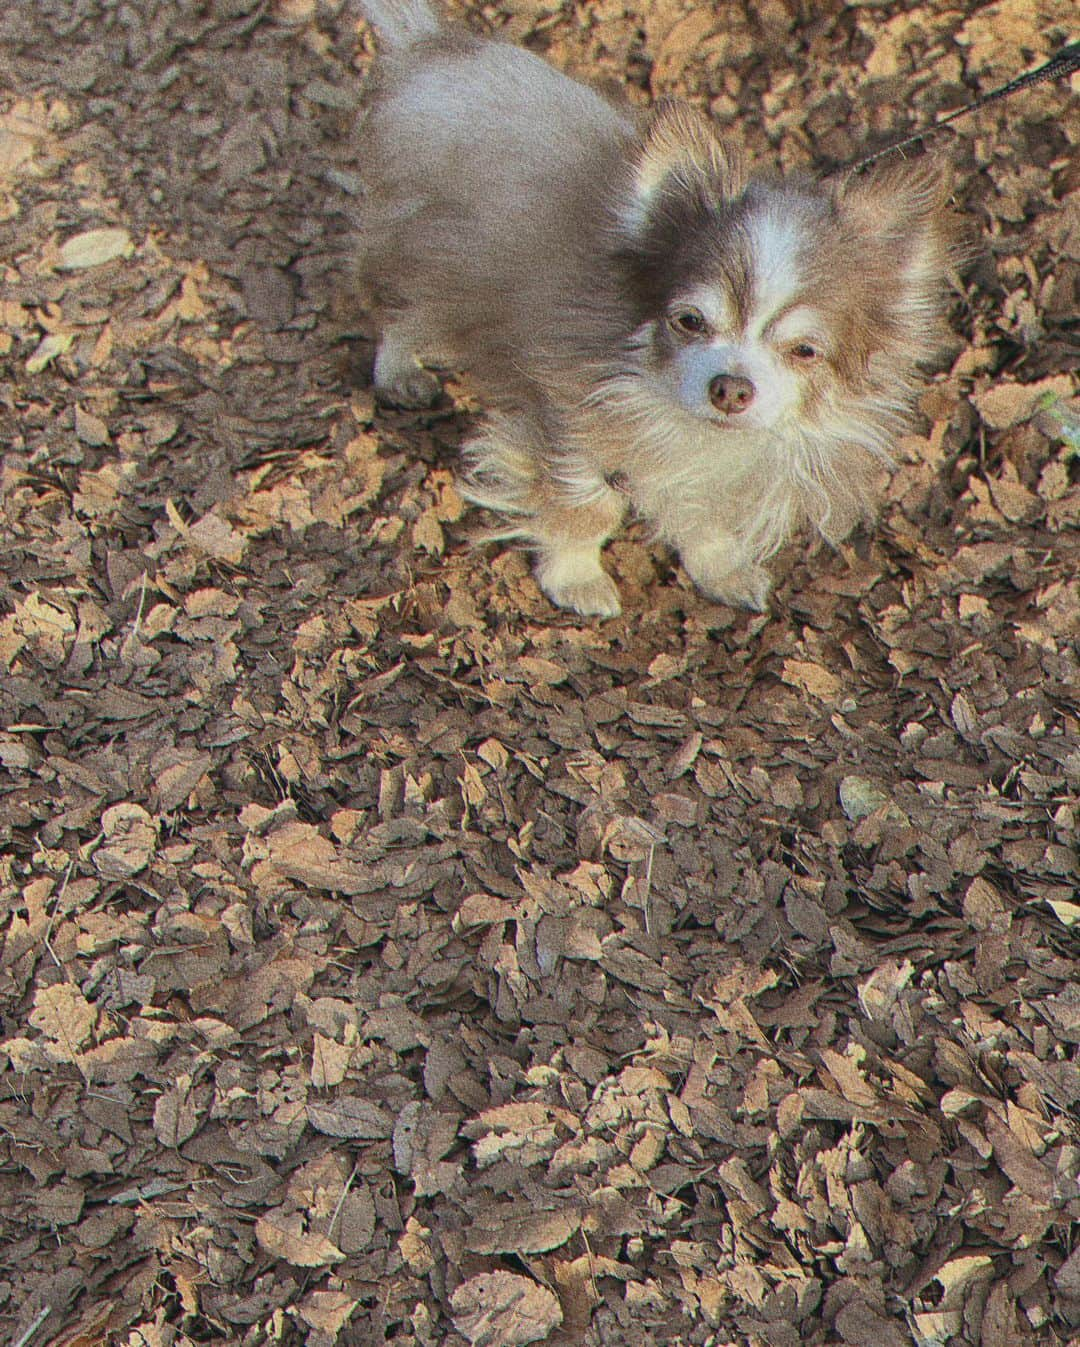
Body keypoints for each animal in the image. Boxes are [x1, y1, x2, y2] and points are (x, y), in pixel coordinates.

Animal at [352, 0, 953, 616]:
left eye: (805, 351)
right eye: (689, 322)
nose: (730, 388)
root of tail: (431, 47)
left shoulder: (702, 473)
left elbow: (704, 519)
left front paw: (721, 569)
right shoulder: (568, 423)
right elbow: (586, 508)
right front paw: (575, 578)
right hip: (426, 260)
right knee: (399, 313)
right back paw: (399, 373)